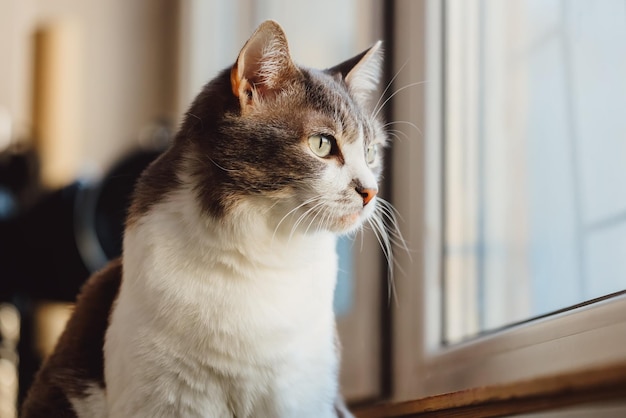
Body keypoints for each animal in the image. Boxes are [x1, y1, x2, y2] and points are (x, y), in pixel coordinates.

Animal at [23, 20, 390, 418]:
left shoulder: (302, 393)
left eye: (371, 153)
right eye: (322, 144)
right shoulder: (166, 397)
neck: (265, 256)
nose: (370, 191)